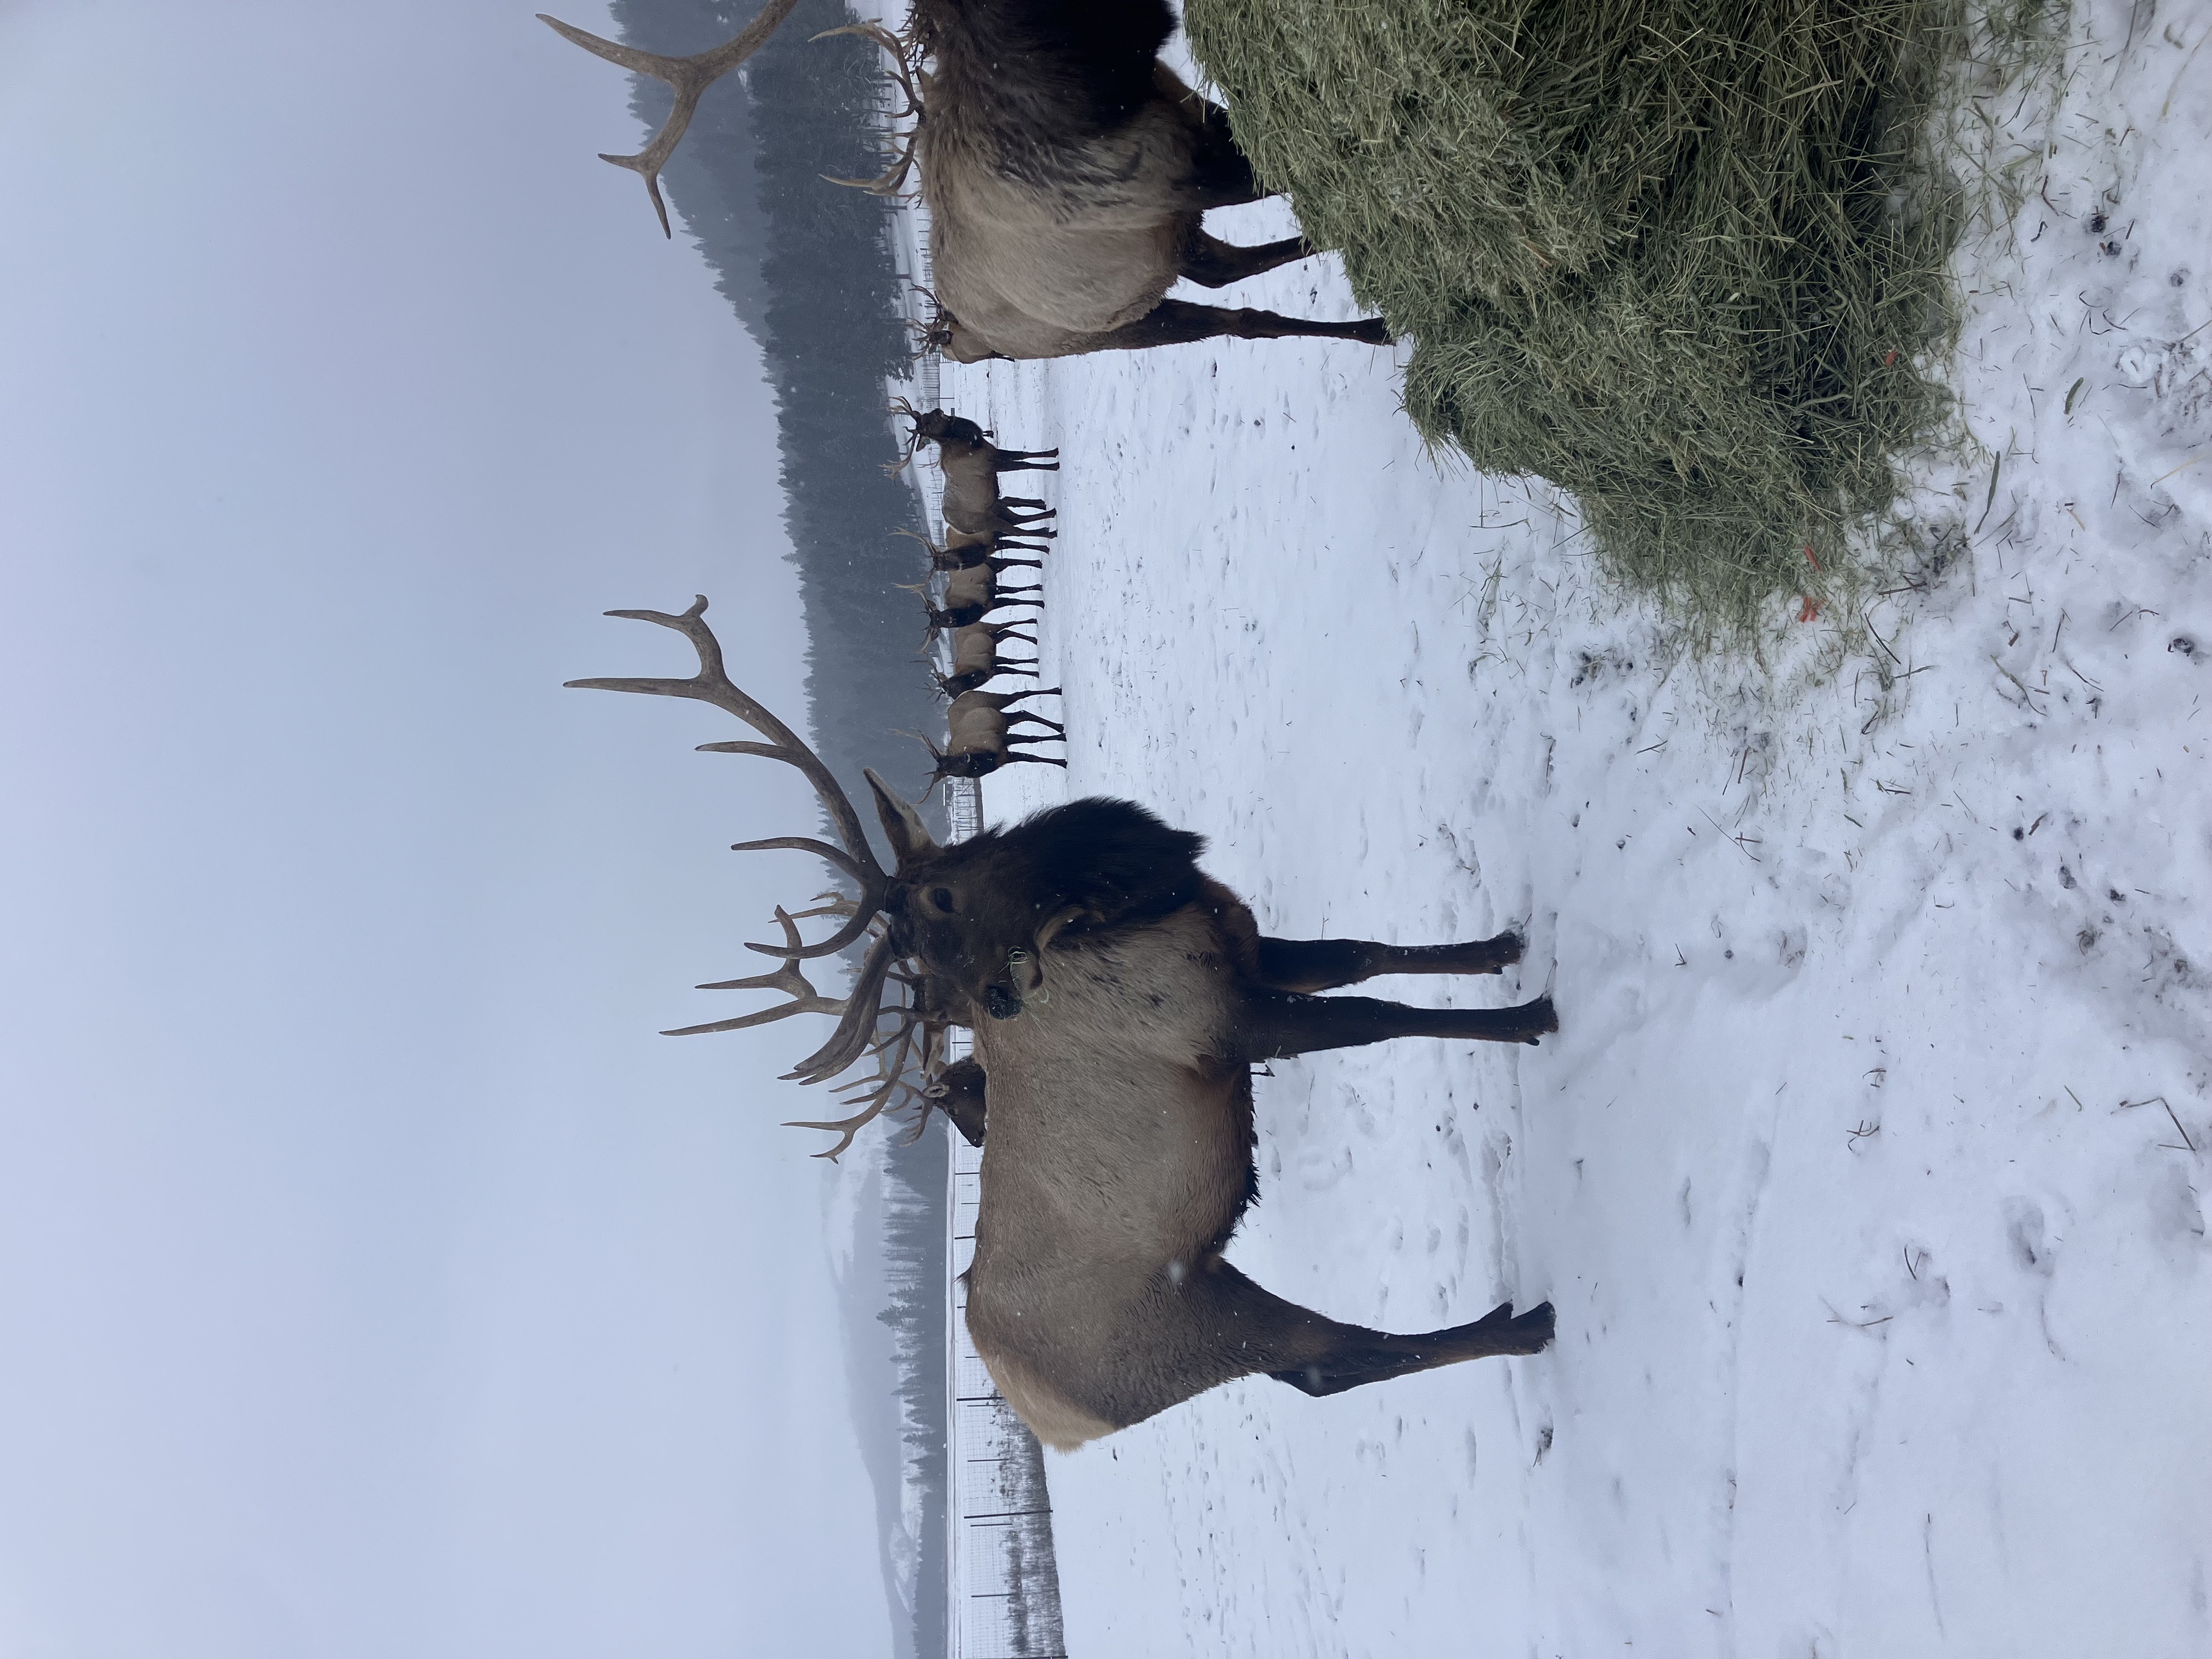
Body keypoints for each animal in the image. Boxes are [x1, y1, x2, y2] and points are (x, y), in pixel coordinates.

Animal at [538, 0, 1397, 363]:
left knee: (1229, 273)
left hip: (1156, 257)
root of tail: (954, 336)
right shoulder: (1185, 174)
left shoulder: (1195, 121)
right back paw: (1373, 330)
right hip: (1111, 324)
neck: (1091, 95)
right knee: (1241, 316)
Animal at [571, 598, 1557, 1451]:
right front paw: (1533, 1014)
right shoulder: (1221, 1027)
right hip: (1195, 1321)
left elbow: (1365, 952)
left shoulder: (1241, 949)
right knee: (1333, 1357)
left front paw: (1500, 946)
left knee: (1322, 1365)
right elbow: (1376, 1014)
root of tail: (1057, 1424)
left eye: (936, 897)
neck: (1130, 898)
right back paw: (1527, 1323)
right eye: (916, 946)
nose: (995, 1000)